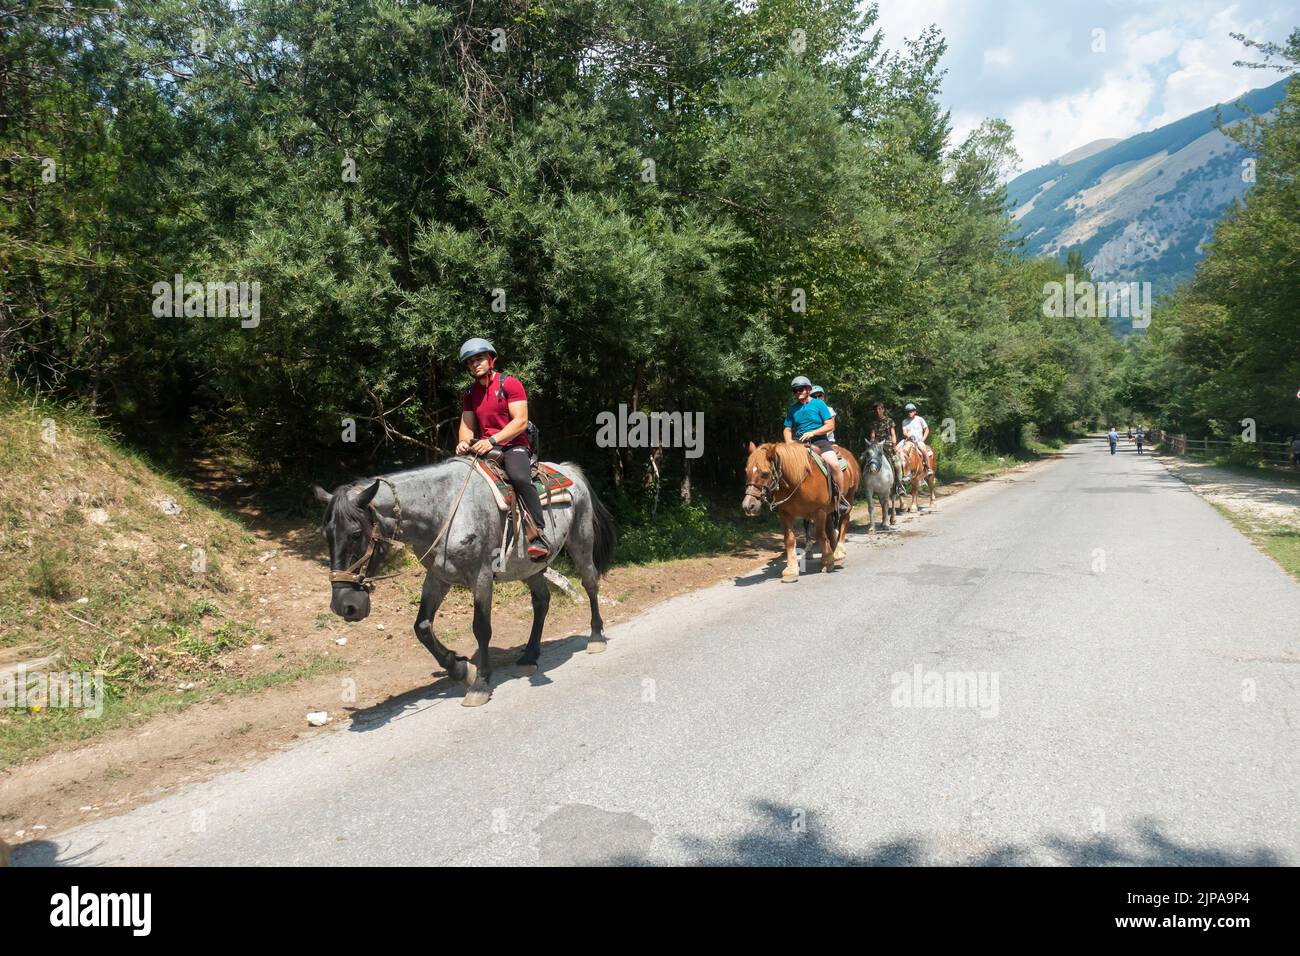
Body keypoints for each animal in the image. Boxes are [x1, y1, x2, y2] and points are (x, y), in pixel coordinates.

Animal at [315, 457, 616, 707]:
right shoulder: (438, 577)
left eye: (356, 534)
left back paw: (596, 637)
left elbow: (481, 628)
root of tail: (569, 470)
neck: (443, 510)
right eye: (327, 535)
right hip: (531, 566)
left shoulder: (481, 576)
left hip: (580, 541)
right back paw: (529, 656)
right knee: (541, 601)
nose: (345, 606)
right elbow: (422, 627)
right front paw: (460, 669)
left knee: (590, 584)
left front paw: (480, 683)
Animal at [741, 441, 861, 583]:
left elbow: (820, 536)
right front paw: (791, 570)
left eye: (765, 473)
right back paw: (833, 554)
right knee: (831, 530)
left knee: (843, 523)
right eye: (747, 471)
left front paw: (827, 562)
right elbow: (789, 540)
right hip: (829, 510)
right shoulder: (785, 514)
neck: (798, 482)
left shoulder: (819, 511)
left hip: (849, 498)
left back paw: (838, 553)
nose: (748, 506)